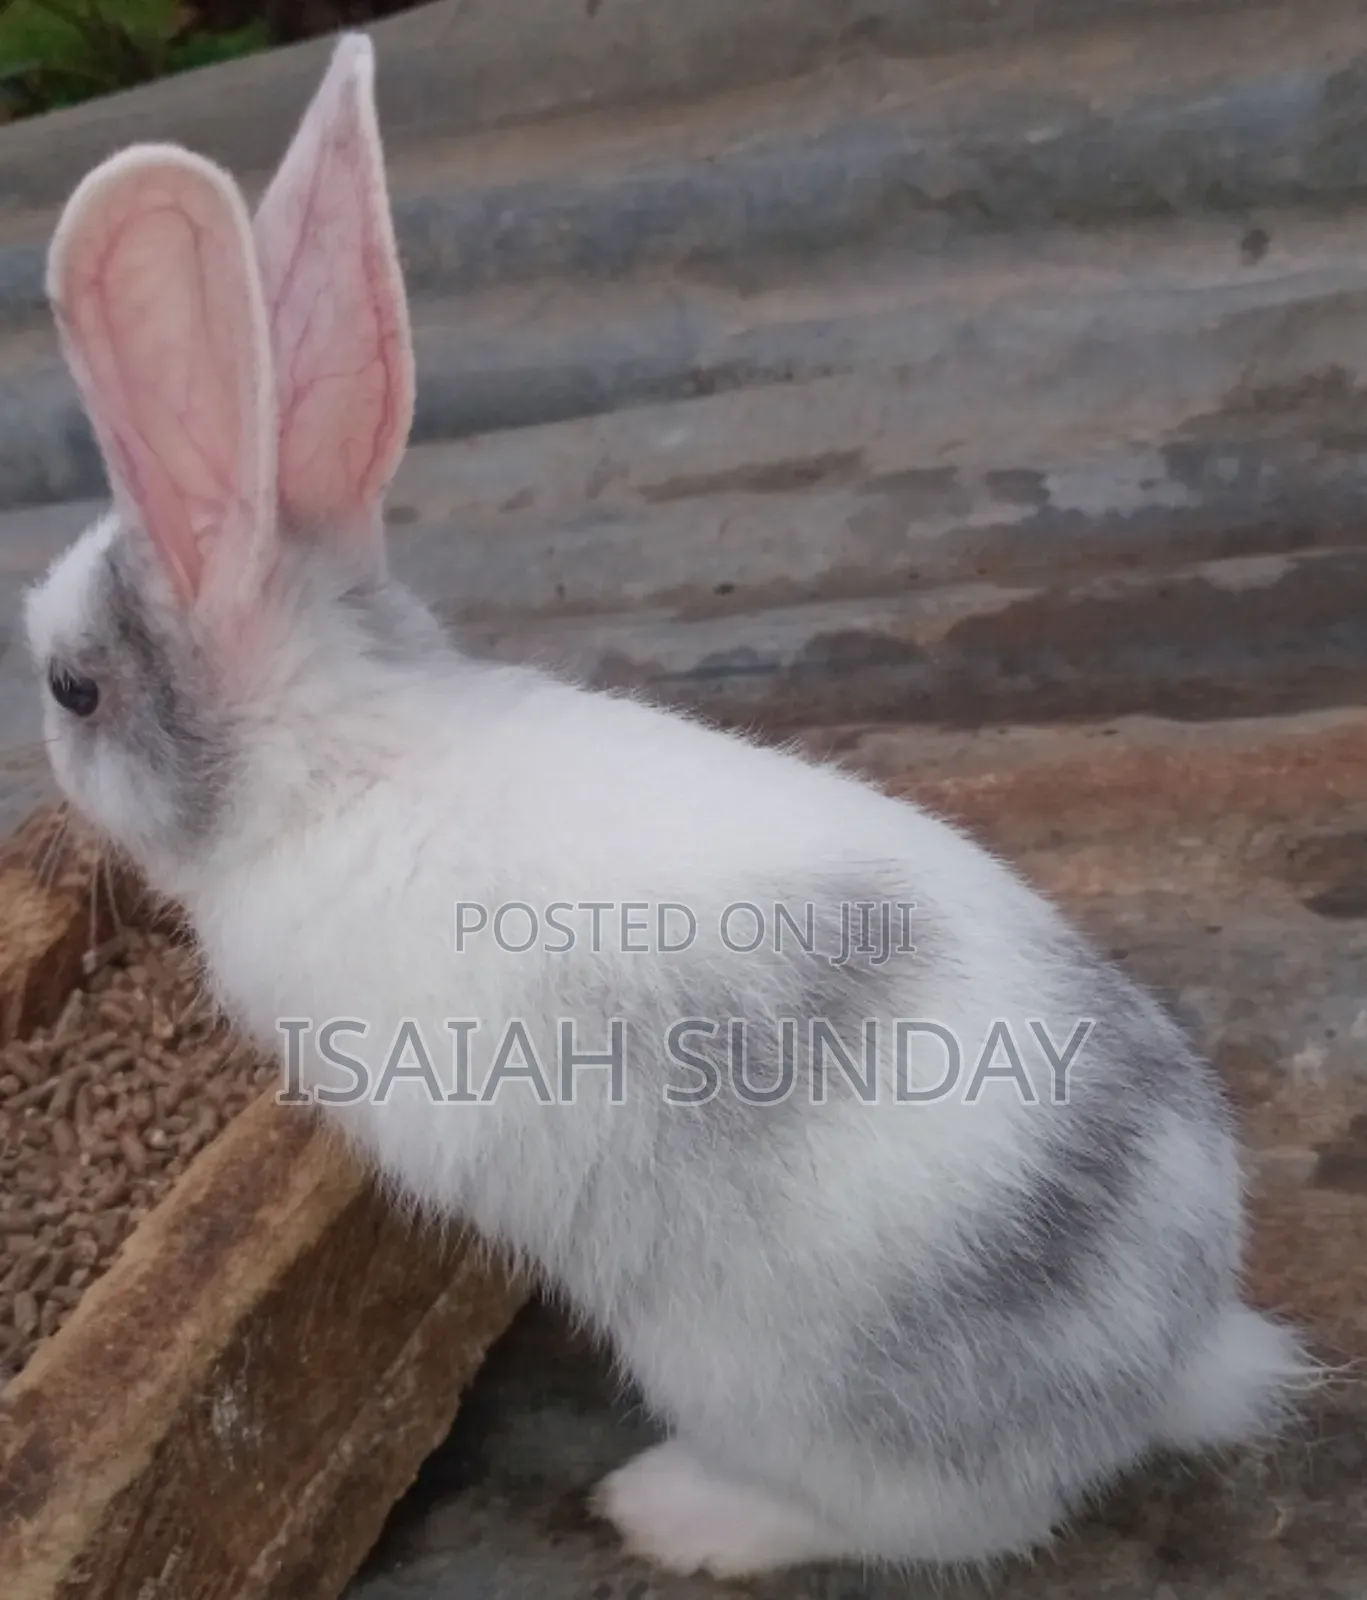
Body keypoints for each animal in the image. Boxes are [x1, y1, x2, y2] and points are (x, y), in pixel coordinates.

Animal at [23, 33, 1311, 1581]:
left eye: (74, 687)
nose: (45, 750)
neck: (342, 758)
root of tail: (1166, 1364)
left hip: (752, 1382)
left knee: (946, 1519)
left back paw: (674, 1511)